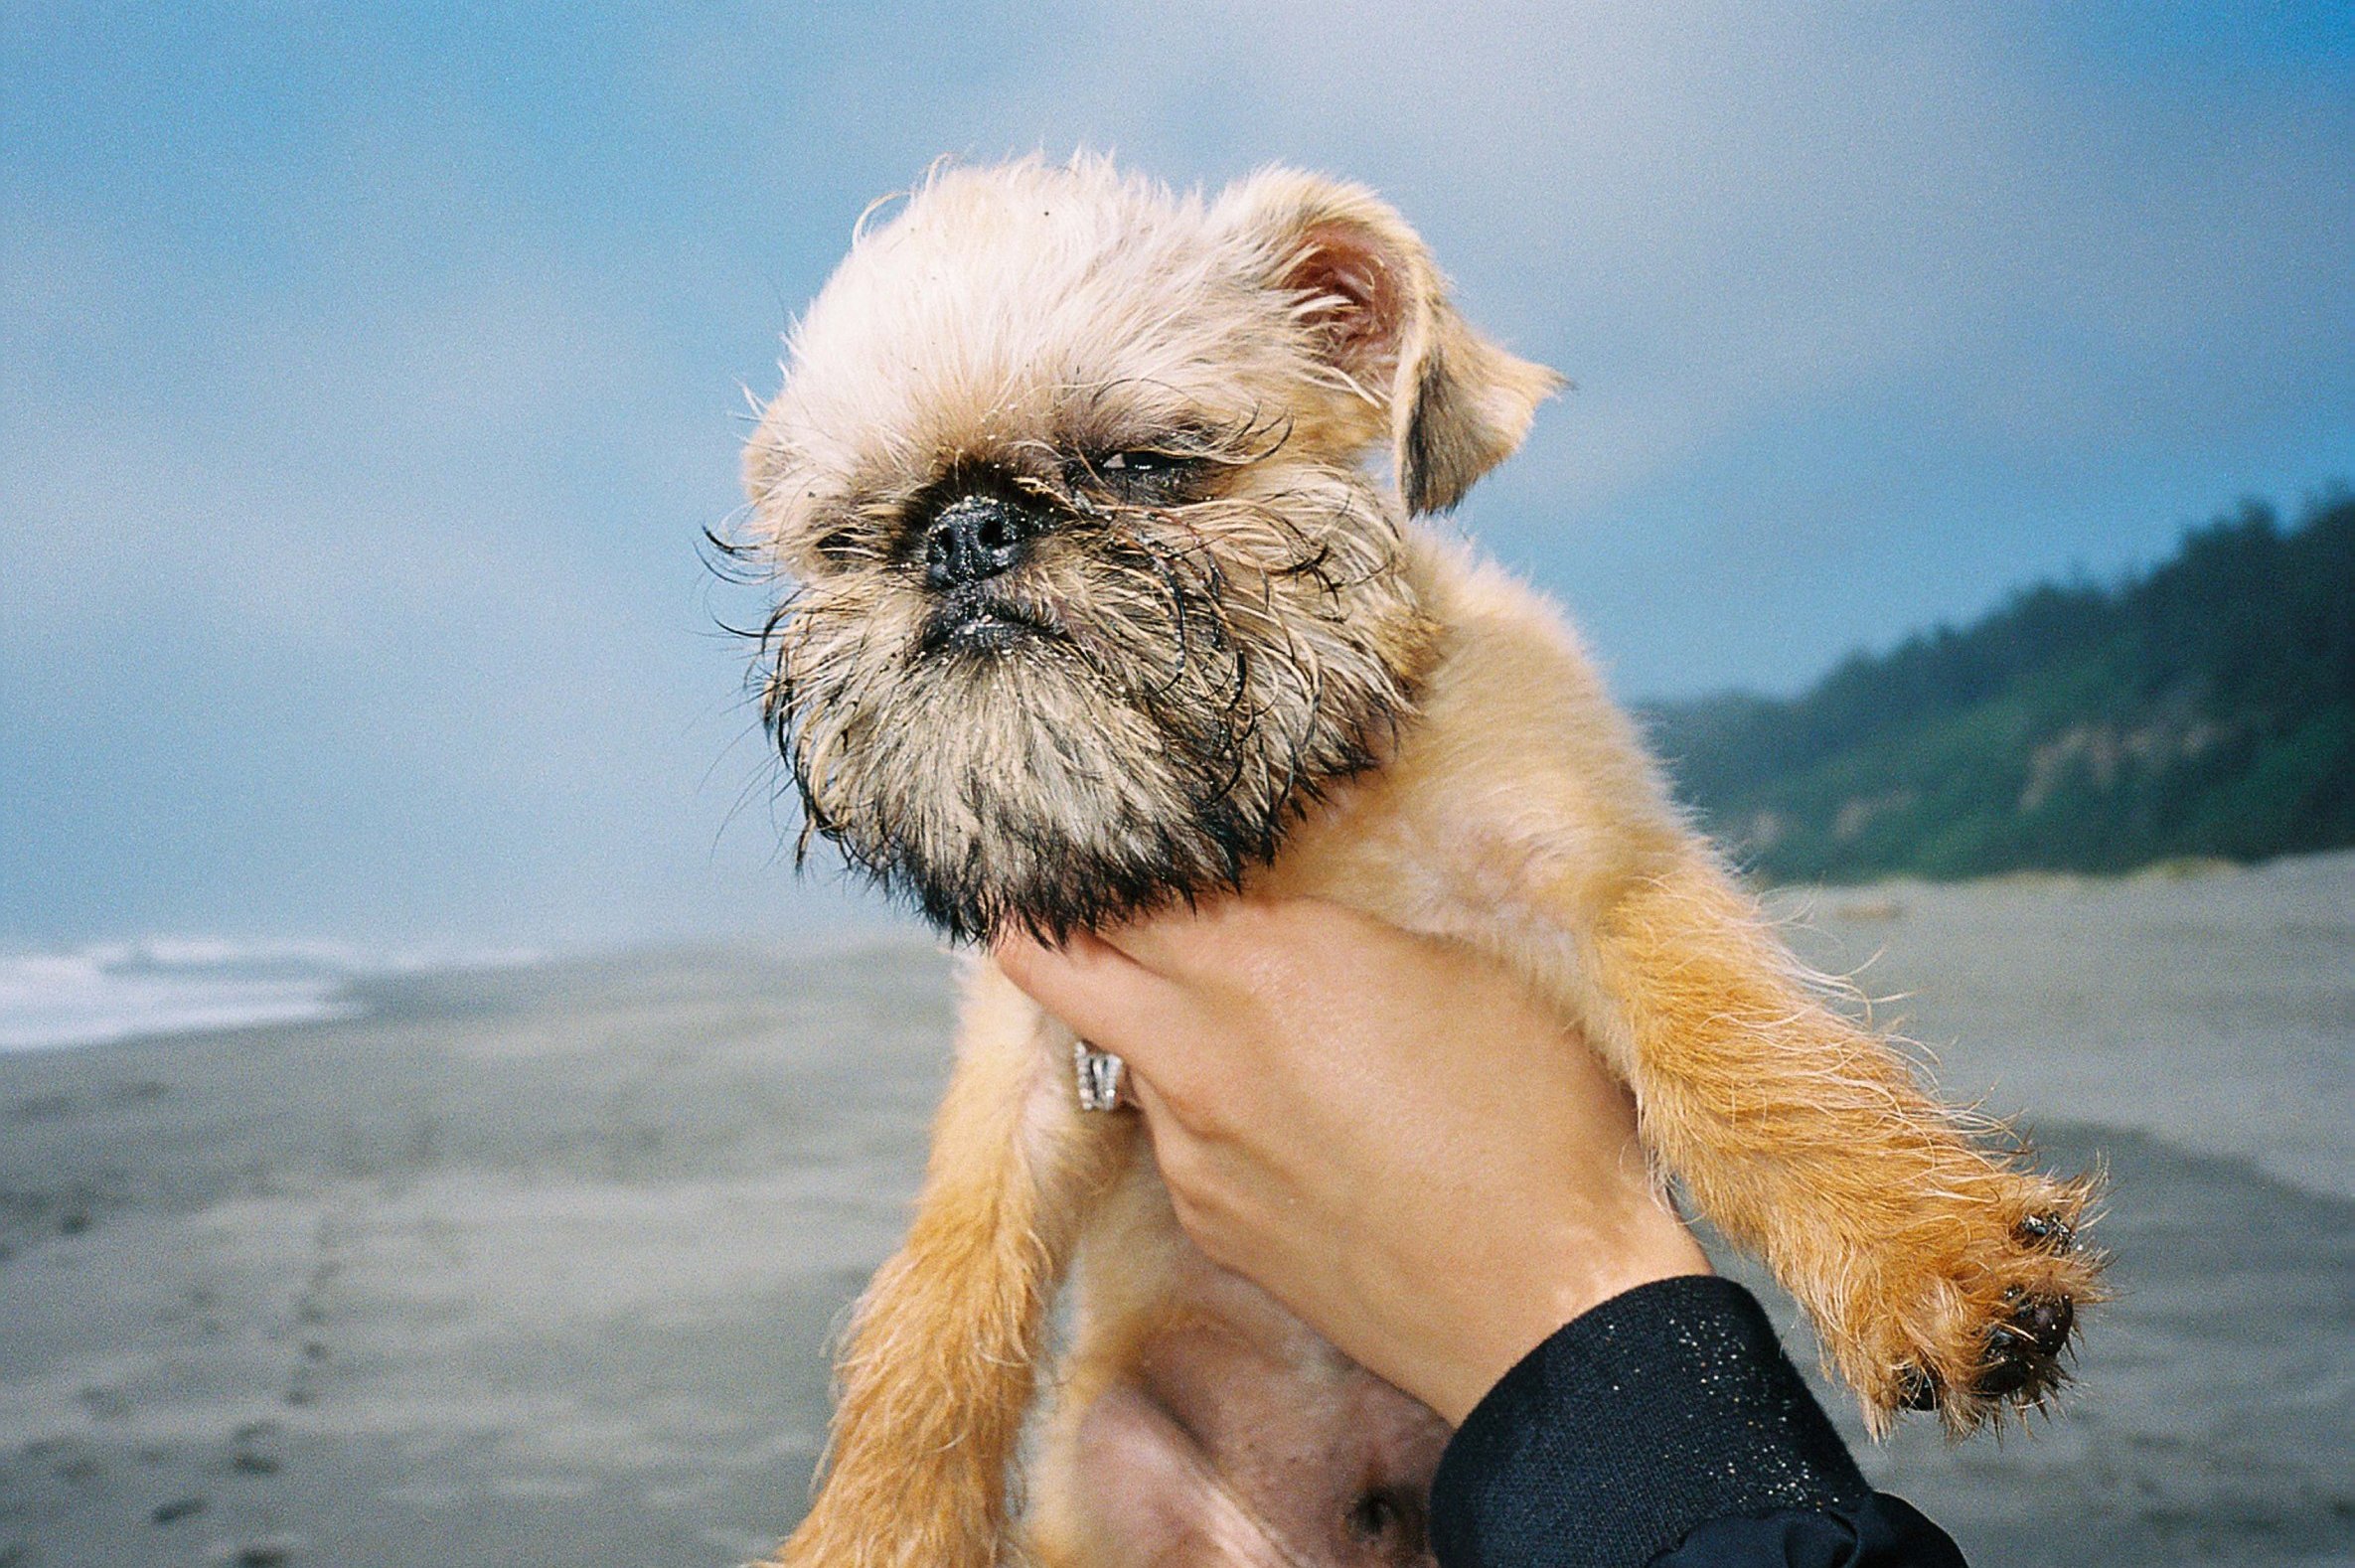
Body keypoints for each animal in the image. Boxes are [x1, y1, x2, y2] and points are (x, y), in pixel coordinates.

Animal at [734, 155, 2101, 1563]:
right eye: (846, 541)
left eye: (1145, 464)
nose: (960, 532)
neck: (1276, 828)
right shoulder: (1033, 1060)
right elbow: (943, 1295)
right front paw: (880, 1526)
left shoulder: (1593, 874)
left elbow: (1743, 1053)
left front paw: (1922, 1252)